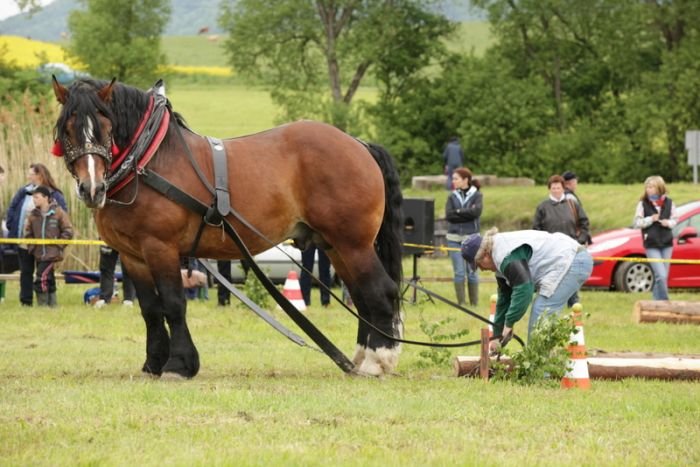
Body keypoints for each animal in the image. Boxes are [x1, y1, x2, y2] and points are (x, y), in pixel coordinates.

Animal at [52, 78, 404, 378]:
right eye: (67, 130)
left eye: (106, 128)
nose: (92, 188)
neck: (149, 160)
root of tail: (359, 144)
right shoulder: (133, 255)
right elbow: (150, 309)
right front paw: (153, 362)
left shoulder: (160, 247)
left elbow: (173, 304)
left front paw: (180, 364)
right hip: (335, 246)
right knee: (361, 296)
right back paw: (361, 358)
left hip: (353, 244)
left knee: (379, 292)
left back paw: (377, 361)